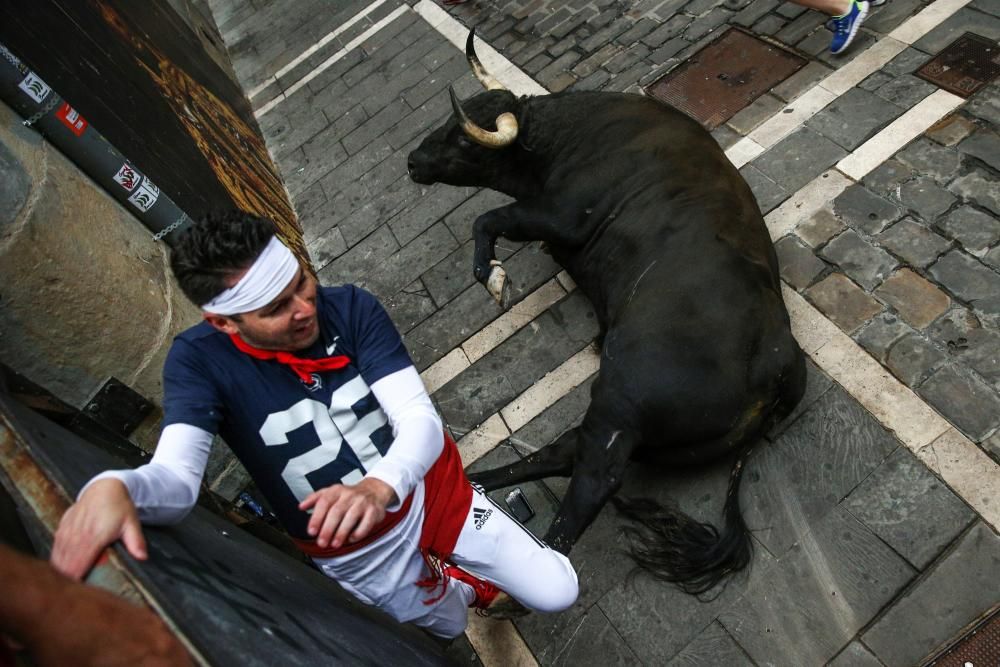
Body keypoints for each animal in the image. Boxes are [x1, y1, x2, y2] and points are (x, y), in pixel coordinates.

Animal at [406, 35, 804, 596]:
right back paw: (474, 487)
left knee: (589, 481)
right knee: (563, 452)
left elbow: (487, 219)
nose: (412, 161)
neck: (562, 135)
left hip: (619, 406)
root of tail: (779, 366)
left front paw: (494, 278)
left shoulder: (562, 216)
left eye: (464, 141)